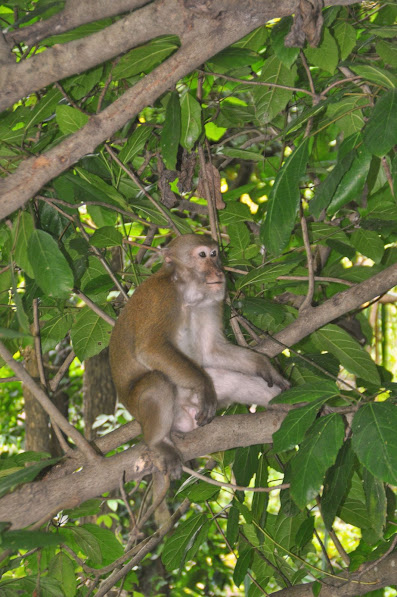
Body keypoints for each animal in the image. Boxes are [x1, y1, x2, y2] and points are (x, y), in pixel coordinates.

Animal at [108, 230, 288, 478]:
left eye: (214, 254)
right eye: (202, 255)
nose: (218, 271)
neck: (187, 295)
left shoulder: (210, 303)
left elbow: (211, 350)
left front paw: (263, 364)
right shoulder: (162, 297)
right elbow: (150, 347)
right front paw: (203, 385)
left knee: (230, 379)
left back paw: (287, 405)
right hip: (146, 408)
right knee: (157, 382)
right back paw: (158, 442)